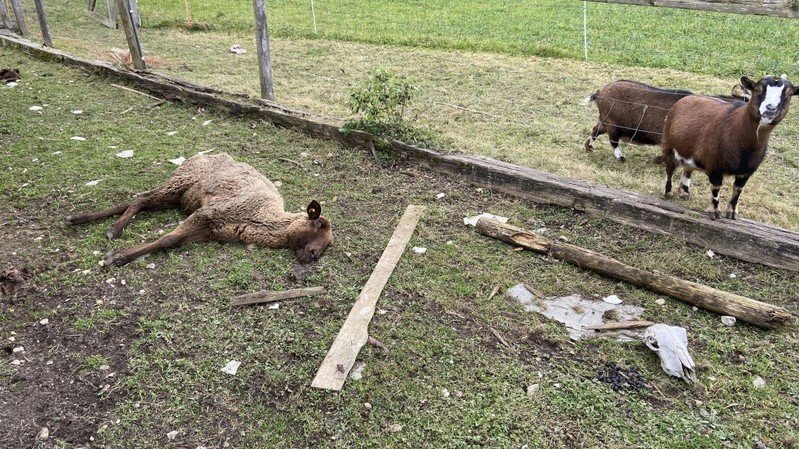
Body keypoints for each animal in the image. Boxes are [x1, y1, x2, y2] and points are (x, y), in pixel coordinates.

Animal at [65, 153, 334, 266]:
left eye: (329, 244)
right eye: (318, 223)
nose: (313, 255)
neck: (259, 217)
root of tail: (200, 155)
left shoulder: (208, 230)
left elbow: (172, 241)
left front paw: (119, 254)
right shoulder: (208, 213)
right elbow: (167, 239)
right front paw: (118, 257)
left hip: (180, 197)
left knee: (140, 200)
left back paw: (81, 219)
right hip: (180, 183)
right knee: (142, 198)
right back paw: (114, 228)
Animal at [580, 79, 744, 162]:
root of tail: (600, 92)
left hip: (605, 120)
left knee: (595, 130)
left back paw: (589, 147)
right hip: (613, 124)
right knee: (613, 140)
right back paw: (620, 157)